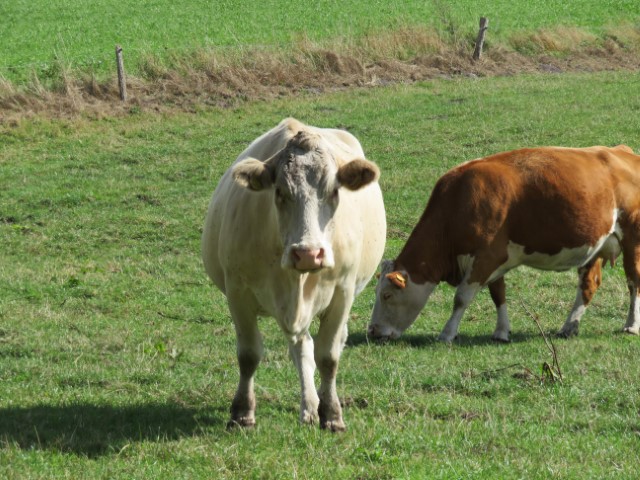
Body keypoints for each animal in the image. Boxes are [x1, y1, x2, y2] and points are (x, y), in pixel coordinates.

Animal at [202, 117, 388, 432]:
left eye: (334, 191)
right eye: (279, 192)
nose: (309, 253)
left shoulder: (342, 292)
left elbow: (328, 357)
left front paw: (332, 414)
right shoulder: (238, 292)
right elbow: (249, 354)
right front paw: (242, 412)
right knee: (302, 348)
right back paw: (309, 406)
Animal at [368, 144, 640, 344]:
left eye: (387, 295)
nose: (372, 331)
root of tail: (623, 152)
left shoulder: (486, 255)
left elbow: (462, 297)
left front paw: (447, 333)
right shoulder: (495, 258)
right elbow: (498, 294)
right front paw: (501, 332)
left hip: (632, 240)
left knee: (634, 281)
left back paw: (631, 325)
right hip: (596, 244)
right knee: (588, 285)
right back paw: (568, 327)